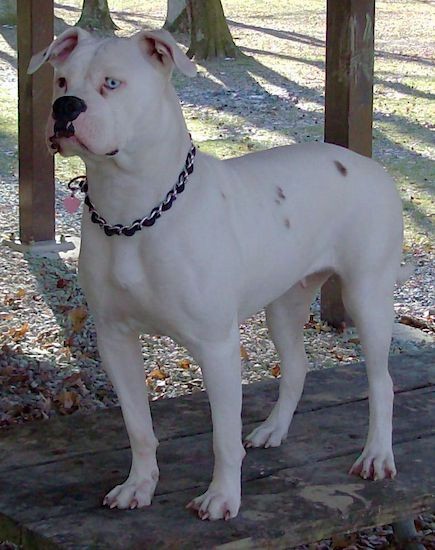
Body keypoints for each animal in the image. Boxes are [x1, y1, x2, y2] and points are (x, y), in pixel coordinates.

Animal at [29, 29, 408, 520]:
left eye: (112, 83)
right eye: (60, 81)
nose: (65, 107)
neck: (132, 213)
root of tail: (370, 164)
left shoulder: (216, 346)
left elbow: (222, 437)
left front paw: (223, 497)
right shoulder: (115, 340)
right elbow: (138, 427)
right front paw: (139, 485)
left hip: (368, 298)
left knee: (382, 382)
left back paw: (377, 455)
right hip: (284, 304)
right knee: (297, 366)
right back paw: (273, 430)